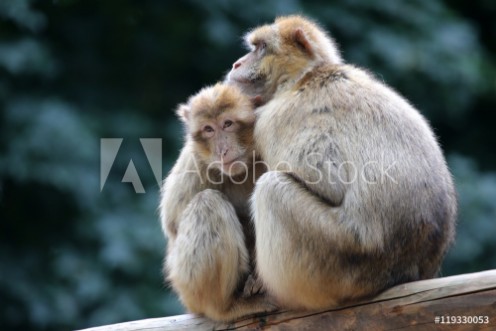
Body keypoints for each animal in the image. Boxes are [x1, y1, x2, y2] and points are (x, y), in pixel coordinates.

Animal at [159, 82, 274, 322]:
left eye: (227, 124)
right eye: (208, 129)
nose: (222, 150)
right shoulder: (195, 160)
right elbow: (172, 224)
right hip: (187, 288)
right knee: (207, 202)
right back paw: (226, 307)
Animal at [226, 15, 458, 312]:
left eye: (261, 47)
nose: (236, 63)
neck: (305, 77)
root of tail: (407, 269)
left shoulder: (272, 119)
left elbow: (328, 181)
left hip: (338, 261)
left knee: (272, 189)